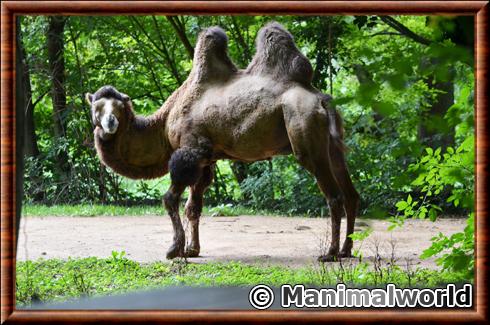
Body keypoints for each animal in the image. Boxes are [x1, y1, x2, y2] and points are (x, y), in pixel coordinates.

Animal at [85, 22, 360, 260]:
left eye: (118, 107)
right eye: (96, 107)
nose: (110, 123)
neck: (164, 124)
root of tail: (323, 99)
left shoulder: (189, 151)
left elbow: (170, 199)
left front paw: (174, 250)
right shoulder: (206, 158)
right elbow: (193, 206)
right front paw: (192, 250)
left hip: (305, 129)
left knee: (334, 196)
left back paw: (330, 253)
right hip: (332, 145)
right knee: (351, 194)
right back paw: (346, 250)